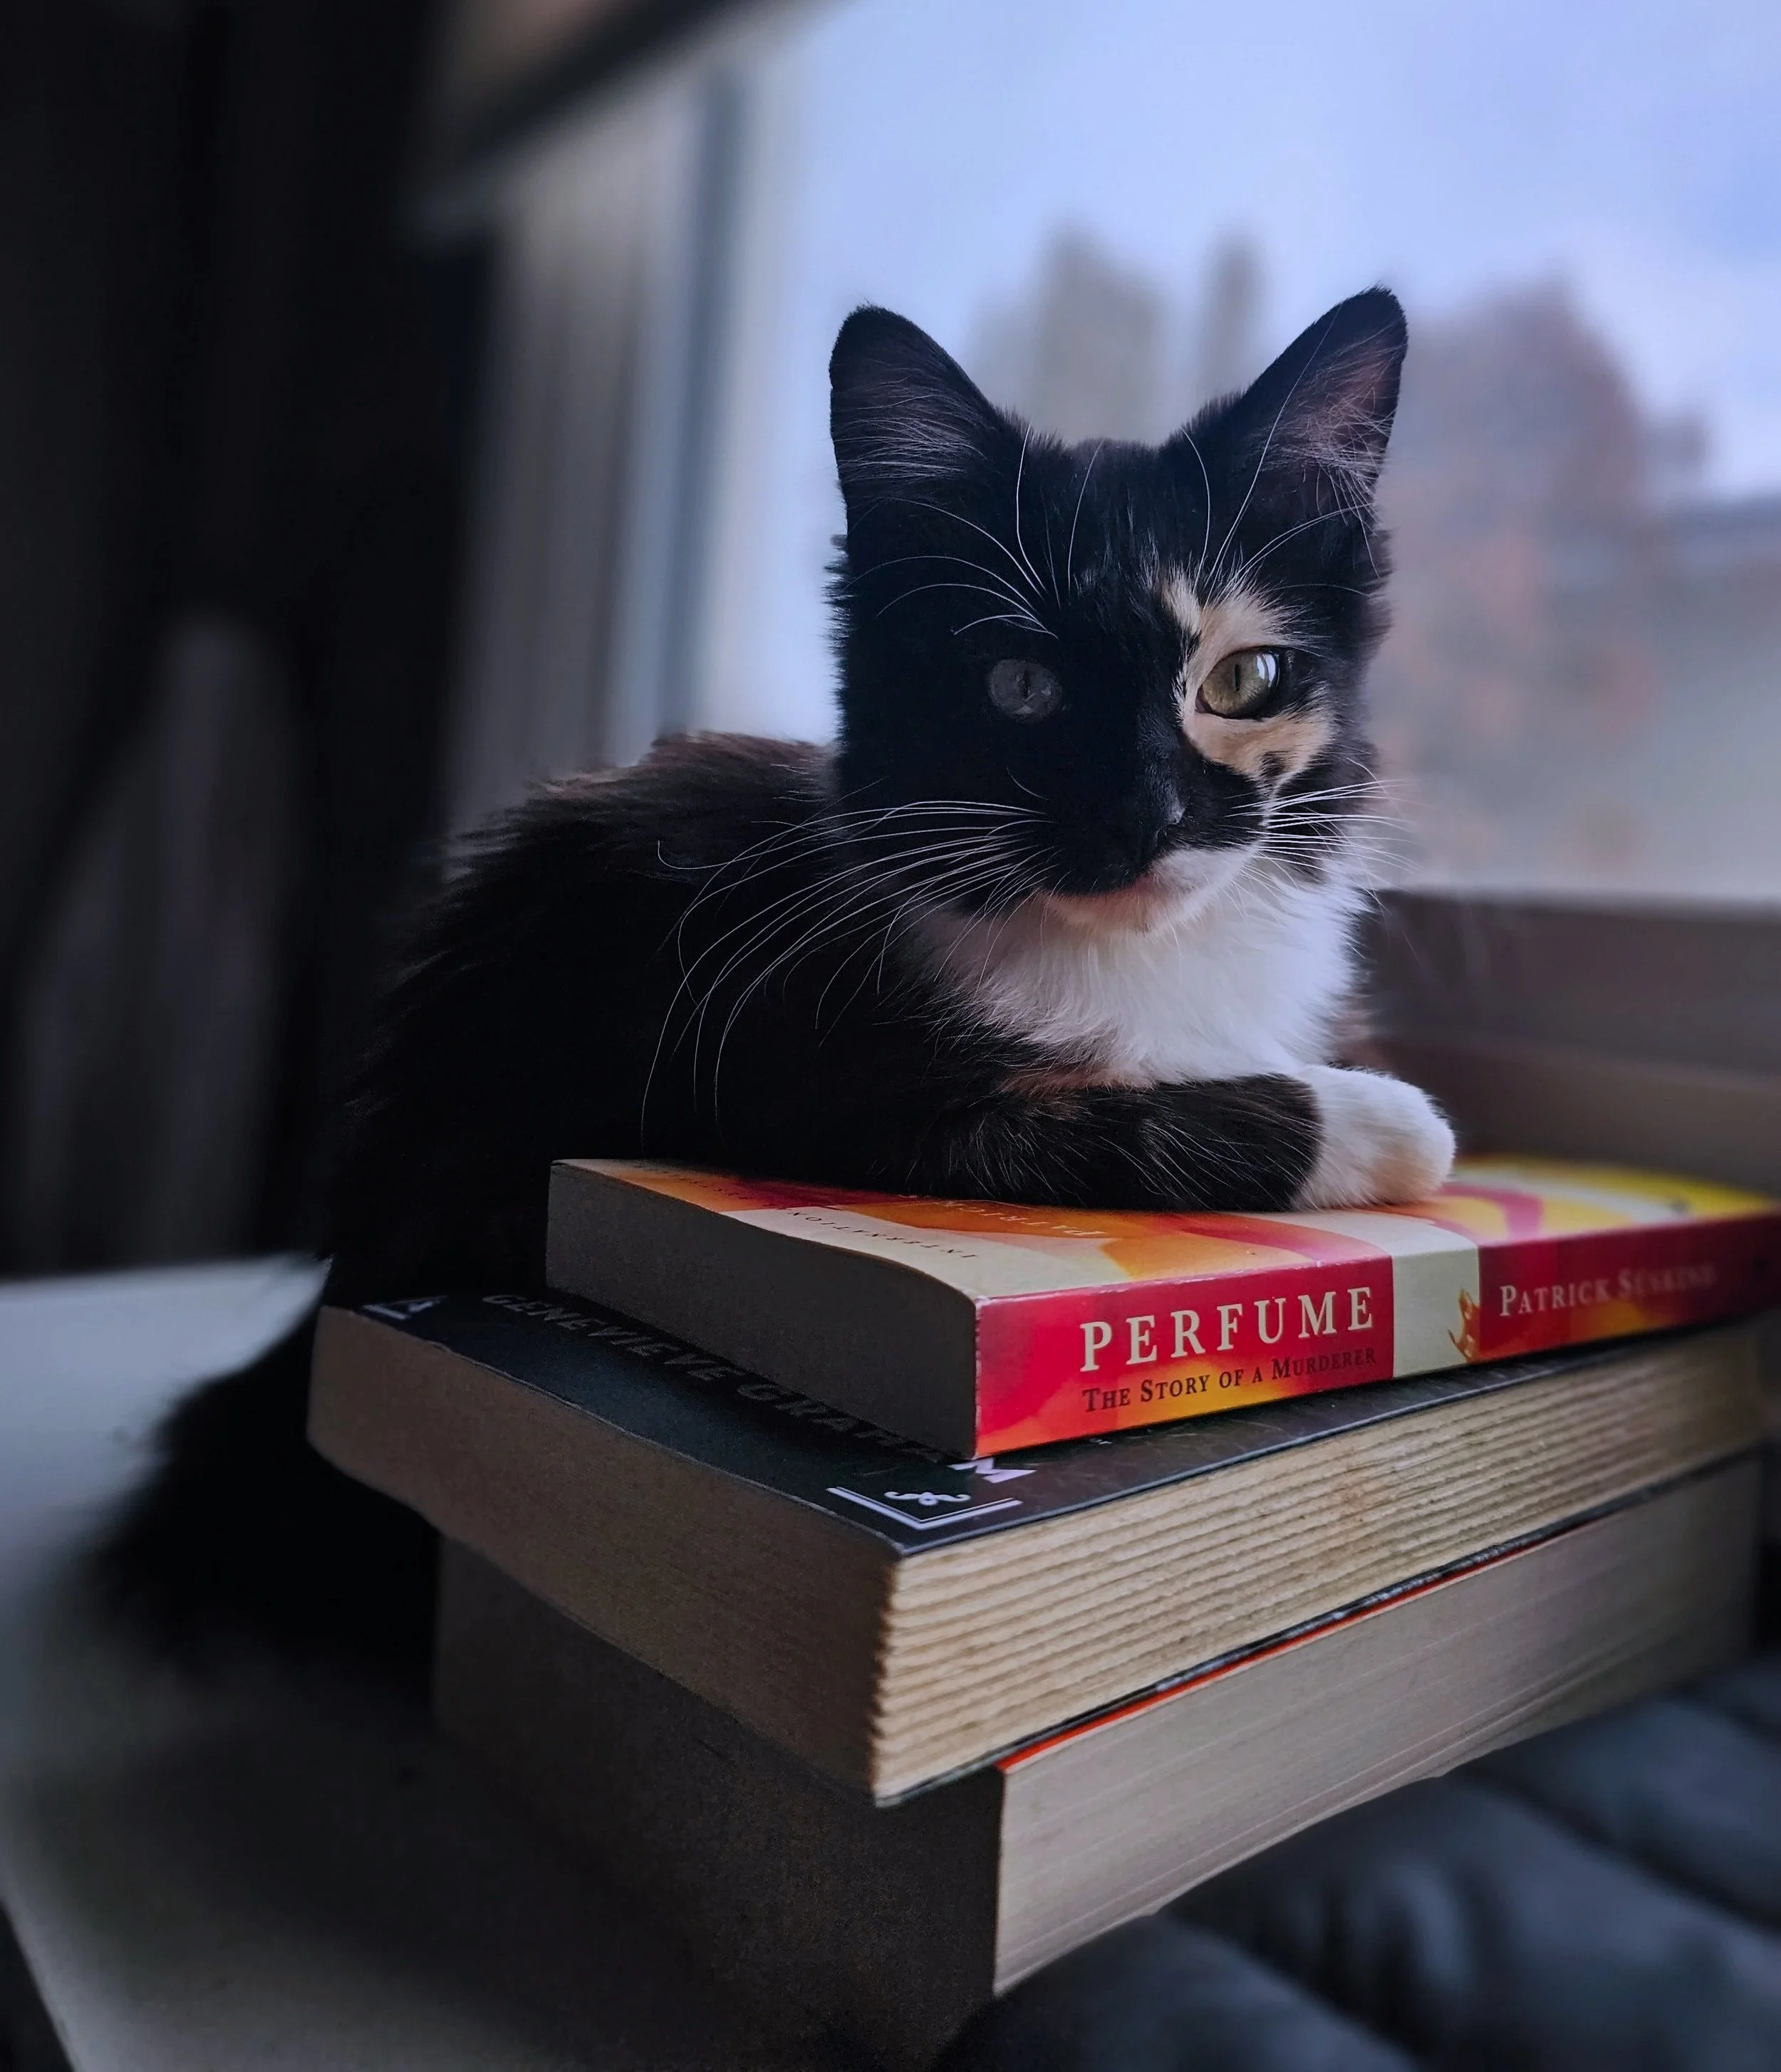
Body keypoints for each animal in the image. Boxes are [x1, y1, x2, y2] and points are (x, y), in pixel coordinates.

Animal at [97, 286, 1453, 1664]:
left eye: (1245, 678)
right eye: (1021, 685)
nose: (1147, 816)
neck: (1127, 945)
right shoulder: (806, 1077)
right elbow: (1103, 1126)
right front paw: (1391, 1124)